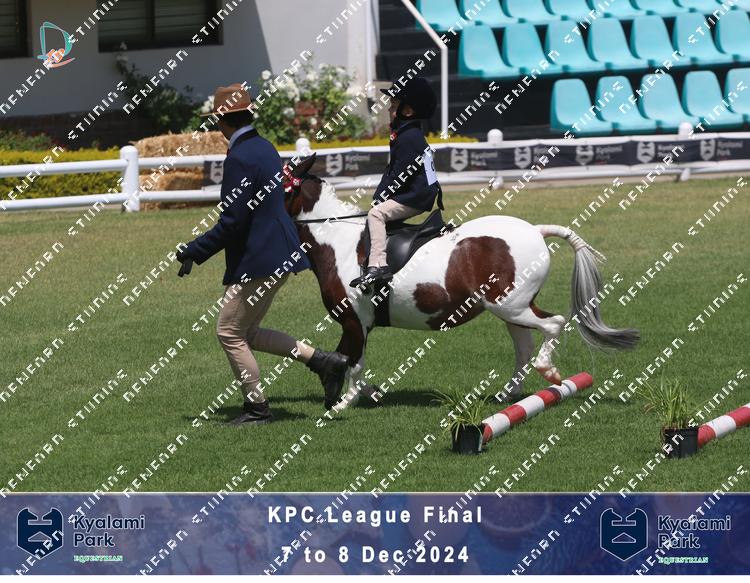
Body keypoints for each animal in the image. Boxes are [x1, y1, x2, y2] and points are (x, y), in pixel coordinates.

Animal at [283, 154, 638, 412]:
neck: (337, 241)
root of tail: (536, 230)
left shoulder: (354, 321)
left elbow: (353, 362)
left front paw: (344, 403)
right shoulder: (354, 324)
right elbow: (346, 359)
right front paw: (364, 392)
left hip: (509, 305)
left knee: (552, 325)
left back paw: (547, 372)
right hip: (514, 308)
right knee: (524, 344)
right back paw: (509, 393)